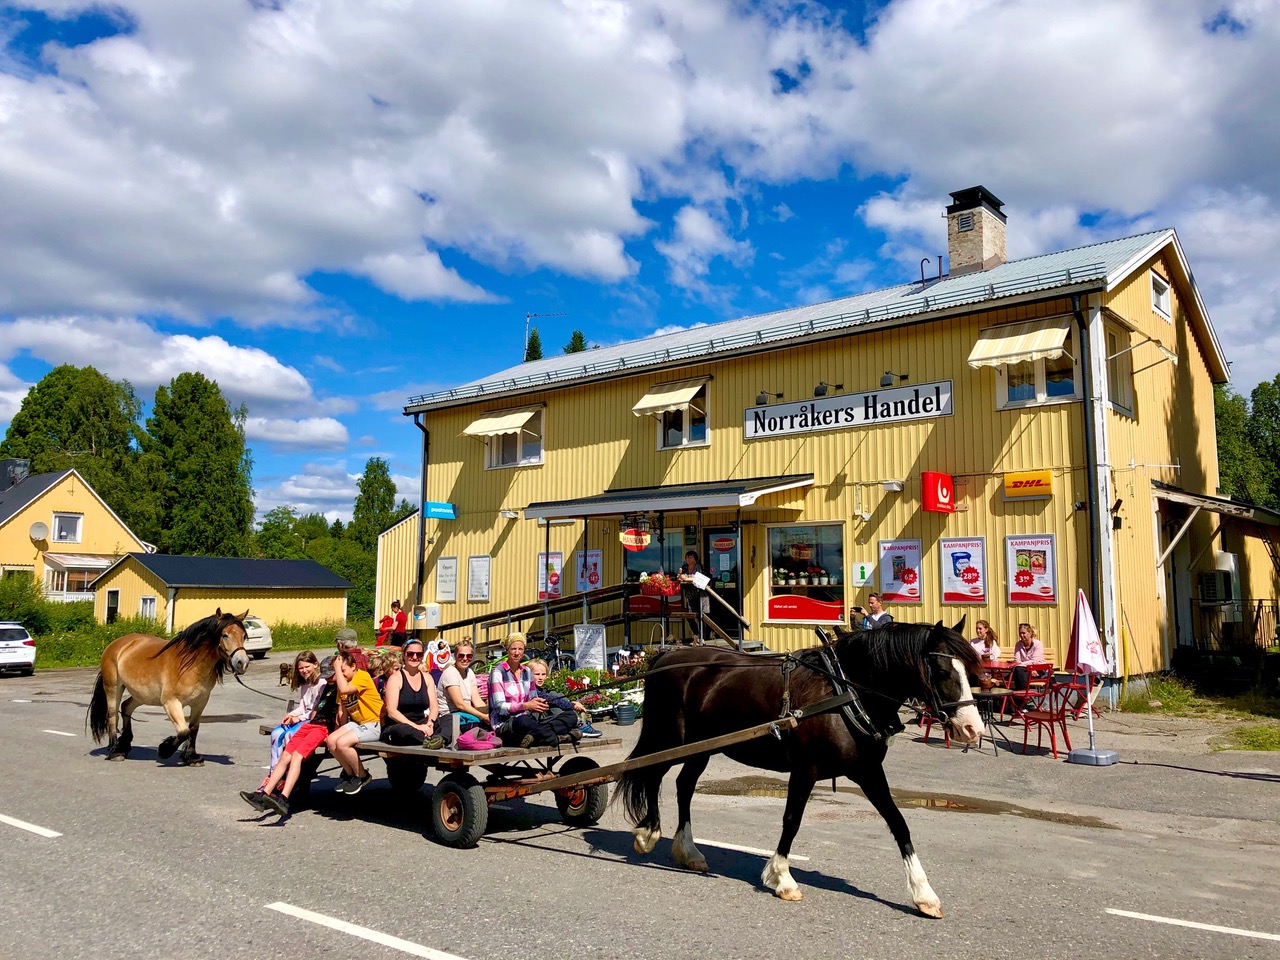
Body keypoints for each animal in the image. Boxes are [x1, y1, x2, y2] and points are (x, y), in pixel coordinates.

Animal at [87, 609, 249, 768]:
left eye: (244, 636)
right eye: (225, 635)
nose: (242, 663)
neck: (191, 665)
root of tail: (116, 644)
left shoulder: (200, 702)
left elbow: (193, 729)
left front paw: (192, 757)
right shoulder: (171, 702)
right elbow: (183, 731)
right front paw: (165, 749)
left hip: (144, 695)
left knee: (126, 706)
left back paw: (124, 744)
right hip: (114, 688)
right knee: (113, 716)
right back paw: (115, 751)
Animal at [614, 619, 983, 921]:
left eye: (970, 672)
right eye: (941, 671)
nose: (973, 729)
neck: (846, 692)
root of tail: (665, 658)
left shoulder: (867, 771)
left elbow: (898, 823)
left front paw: (924, 895)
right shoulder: (806, 770)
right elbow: (791, 821)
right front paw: (782, 877)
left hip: (701, 748)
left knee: (684, 786)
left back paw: (688, 851)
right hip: (670, 739)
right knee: (652, 776)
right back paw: (648, 834)